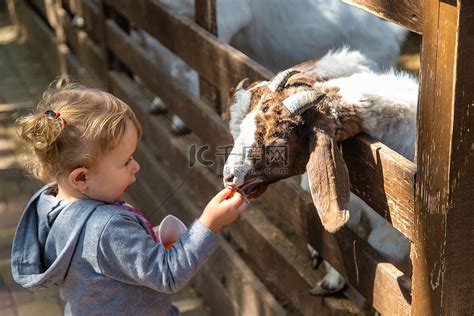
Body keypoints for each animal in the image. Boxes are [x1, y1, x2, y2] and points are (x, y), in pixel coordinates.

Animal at [221, 48, 414, 296]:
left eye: (276, 144)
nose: (229, 176)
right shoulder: (349, 203)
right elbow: (341, 240)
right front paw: (332, 280)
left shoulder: (396, 234)